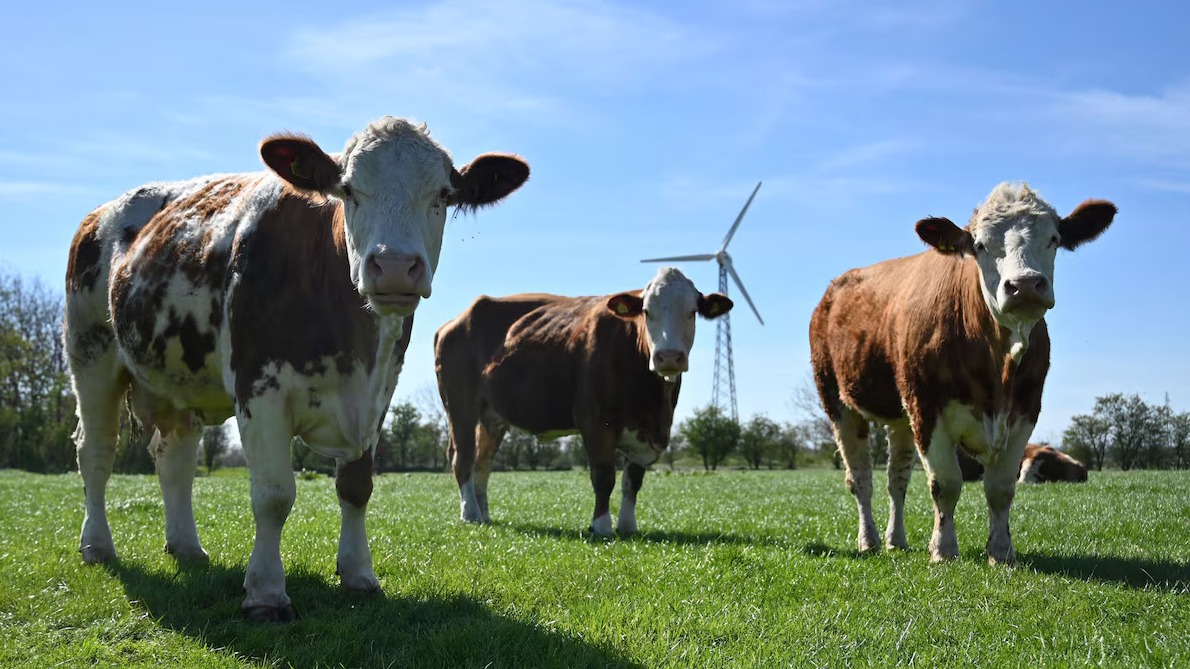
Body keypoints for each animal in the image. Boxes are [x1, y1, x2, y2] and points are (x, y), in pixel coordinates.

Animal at [62, 116, 528, 619]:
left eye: (442, 194)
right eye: (348, 189)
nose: (395, 266)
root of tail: (101, 213)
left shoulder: (379, 393)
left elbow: (356, 488)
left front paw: (359, 575)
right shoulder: (258, 387)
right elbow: (274, 495)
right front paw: (265, 592)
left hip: (178, 380)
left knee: (175, 458)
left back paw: (186, 546)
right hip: (90, 350)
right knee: (96, 452)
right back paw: (97, 546)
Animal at [437, 265, 733, 530]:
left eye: (692, 312)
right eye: (647, 312)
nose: (669, 356)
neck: (653, 402)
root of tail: (455, 321)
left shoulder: (645, 433)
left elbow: (633, 480)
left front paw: (628, 526)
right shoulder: (596, 422)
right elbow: (604, 476)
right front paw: (601, 526)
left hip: (492, 418)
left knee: (482, 463)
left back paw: (484, 514)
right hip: (461, 405)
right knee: (462, 457)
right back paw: (470, 514)